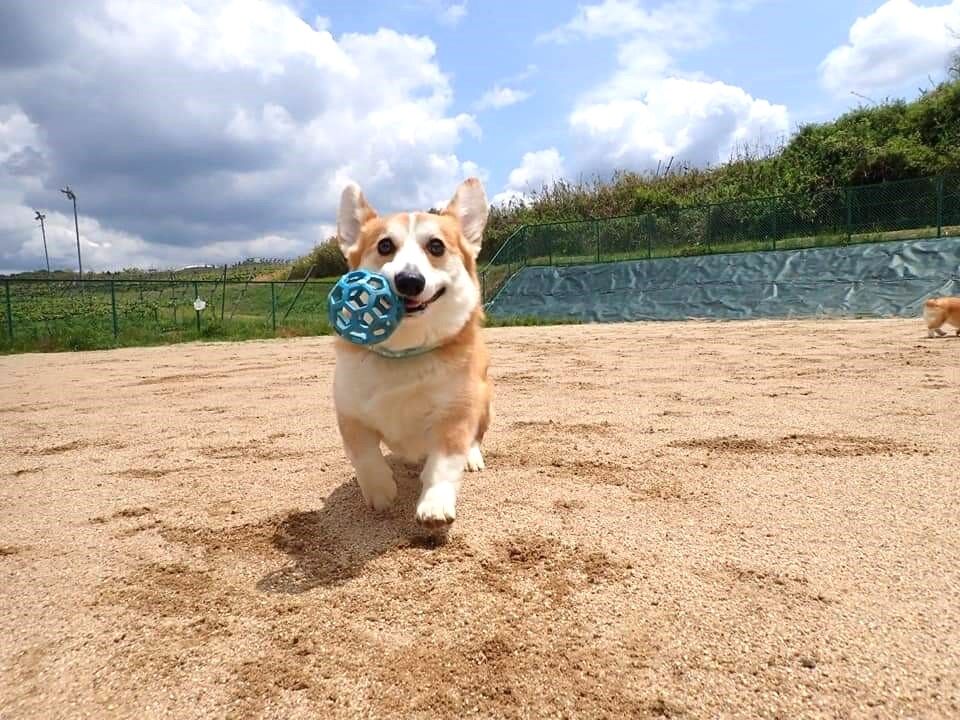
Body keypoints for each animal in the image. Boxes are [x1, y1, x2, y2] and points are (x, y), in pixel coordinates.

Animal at [332, 178, 492, 529]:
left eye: (436, 247)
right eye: (384, 246)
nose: (409, 280)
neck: (404, 352)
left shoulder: (454, 418)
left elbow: (443, 466)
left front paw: (434, 506)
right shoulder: (350, 414)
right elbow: (364, 456)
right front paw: (381, 493)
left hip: (484, 400)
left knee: (475, 437)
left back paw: (472, 458)